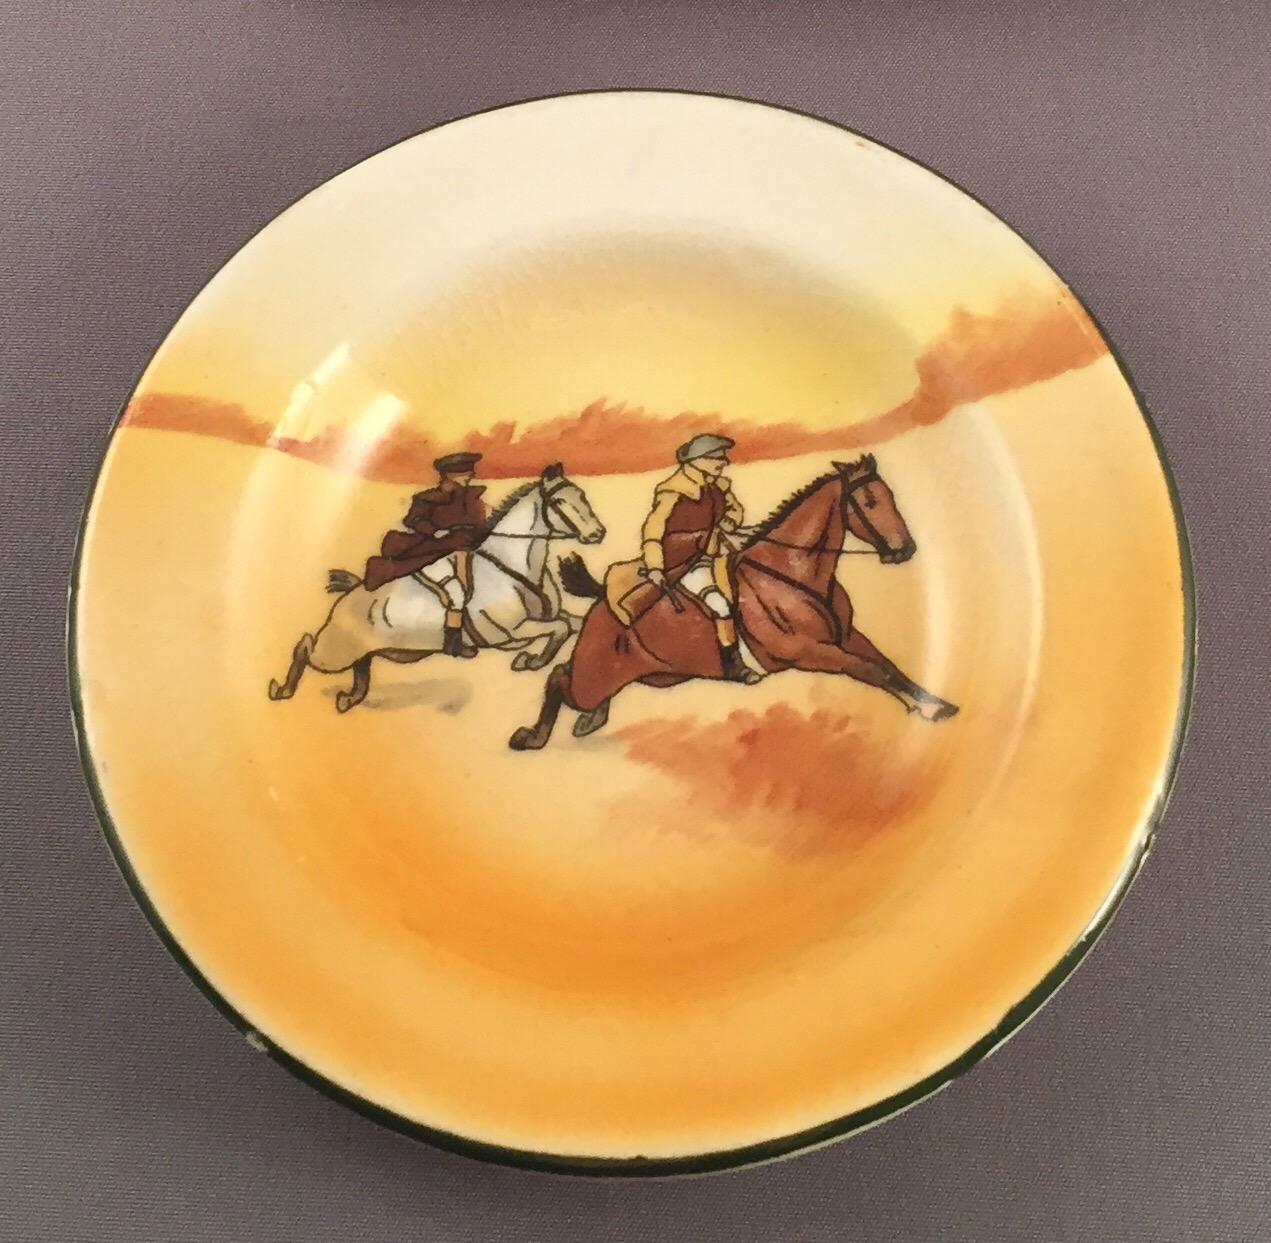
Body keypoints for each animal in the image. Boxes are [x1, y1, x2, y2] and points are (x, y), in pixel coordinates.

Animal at [268, 463, 606, 713]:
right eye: (559, 501)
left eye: (583, 495)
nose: (598, 534)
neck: (513, 567)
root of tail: (352, 591)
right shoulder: (506, 635)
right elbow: (560, 629)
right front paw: (530, 661)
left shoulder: (548, 617)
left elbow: (571, 624)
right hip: (335, 652)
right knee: (305, 645)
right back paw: (280, 691)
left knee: (360, 669)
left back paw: (348, 700)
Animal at [508, 454, 957, 750]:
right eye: (869, 502)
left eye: (891, 496)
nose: (905, 550)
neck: (793, 575)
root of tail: (603, 600)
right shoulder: (812, 652)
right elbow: (872, 671)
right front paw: (924, 709)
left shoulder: (848, 637)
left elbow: (888, 665)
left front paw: (936, 703)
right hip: (596, 672)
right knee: (560, 678)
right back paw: (532, 736)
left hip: (660, 675)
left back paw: (590, 719)